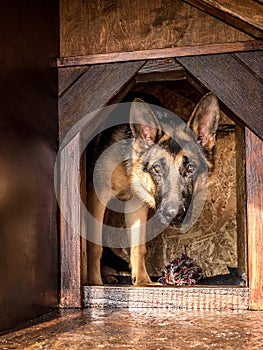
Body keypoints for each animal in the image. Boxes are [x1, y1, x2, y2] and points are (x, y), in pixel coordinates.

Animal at [86, 91, 221, 286]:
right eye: (157, 169)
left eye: (190, 168)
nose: (174, 214)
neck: (130, 168)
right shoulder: (97, 197)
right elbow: (94, 246)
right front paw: (94, 283)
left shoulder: (136, 205)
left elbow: (138, 247)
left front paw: (142, 281)